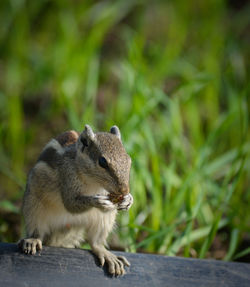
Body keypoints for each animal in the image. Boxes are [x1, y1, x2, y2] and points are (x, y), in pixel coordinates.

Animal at [18, 125, 134, 276]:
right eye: (102, 162)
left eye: (129, 159)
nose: (124, 190)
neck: (93, 181)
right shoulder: (67, 176)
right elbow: (70, 204)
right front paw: (98, 202)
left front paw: (128, 200)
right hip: (34, 207)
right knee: (37, 231)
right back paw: (33, 240)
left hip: (104, 220)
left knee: (95, 243)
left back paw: (107, 255)